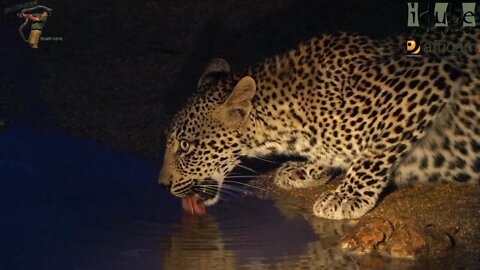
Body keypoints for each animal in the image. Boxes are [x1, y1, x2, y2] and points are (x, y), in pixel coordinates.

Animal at [158, 30, 480, 219]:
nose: (162, 185)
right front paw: (308, 169)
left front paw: (347, 195)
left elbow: (376, 151)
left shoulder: (430, 79)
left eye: (185, 146)